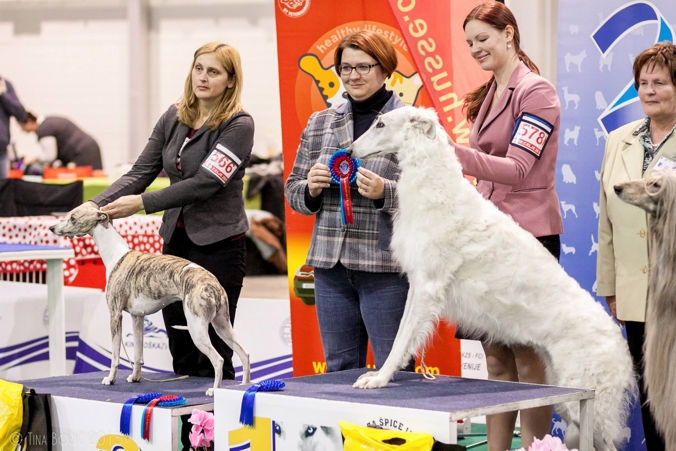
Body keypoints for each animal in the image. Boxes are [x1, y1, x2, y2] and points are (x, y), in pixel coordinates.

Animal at [348, 107, 640, 451]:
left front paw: (379, 379)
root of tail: (619, 343)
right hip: (570, 398)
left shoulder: (426, 286)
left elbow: (400, 340)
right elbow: (402, 336)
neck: (436, 185)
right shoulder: (417, 286)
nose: (349, 151)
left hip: (585, 403)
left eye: (380, 123)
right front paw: (379, 375)